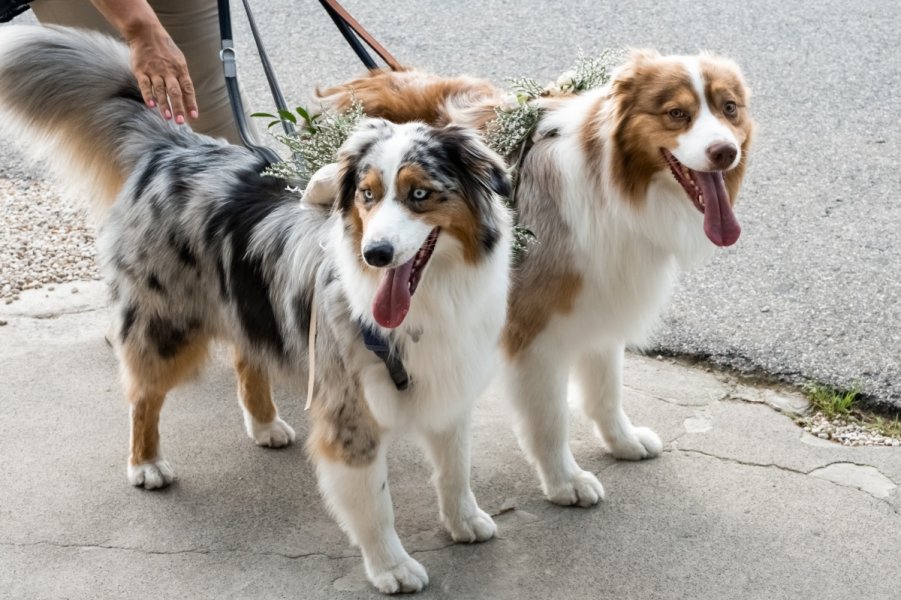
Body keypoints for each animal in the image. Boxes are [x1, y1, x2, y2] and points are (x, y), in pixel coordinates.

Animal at [324, 50, 752, 506]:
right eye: (677, 113)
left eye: (729, 108)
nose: (725, 152)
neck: (609, 181)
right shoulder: (535, 332)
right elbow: (549, 418)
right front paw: (565, 481)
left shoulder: (602, 297)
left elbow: (607, 389)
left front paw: (622, 440)